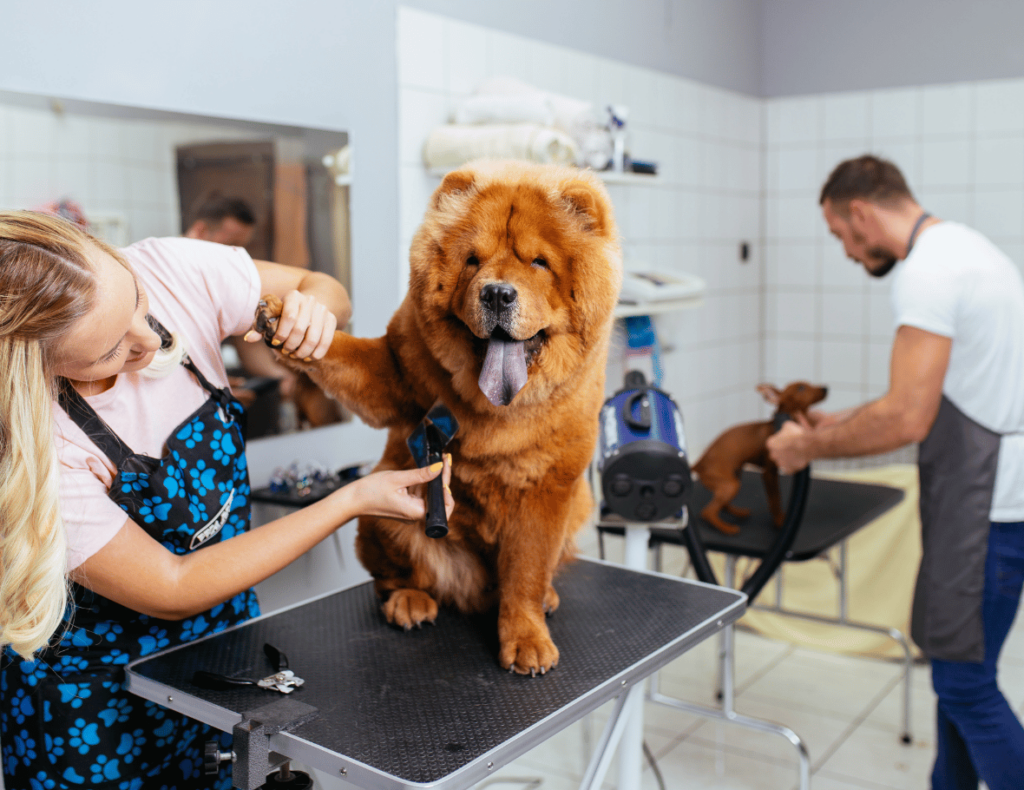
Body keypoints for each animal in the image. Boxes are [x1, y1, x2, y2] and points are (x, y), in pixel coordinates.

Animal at [256, 158, 622, 672]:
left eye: (538, 262)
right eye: (473, 260)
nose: (497, 294)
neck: (497, 407)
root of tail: (476, 591)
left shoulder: (547, 489)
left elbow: (527, 570)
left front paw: (527, 638)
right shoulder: (394, 370)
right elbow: (344, 353)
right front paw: (288, 322)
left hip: (578, 506)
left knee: (534, 573)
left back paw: (545, 597)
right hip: (381, 520)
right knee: (394, 577)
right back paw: (410, 602)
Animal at [692, 383, 827, 536]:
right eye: (801, 388)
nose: (825, 388)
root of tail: (699, 463)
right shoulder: (769, 473)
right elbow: (775, 498)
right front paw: (779, 521)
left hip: (734, 477)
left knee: (722, 505)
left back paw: (738, 512)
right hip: (730, 484)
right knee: (707, 512)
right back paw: (727, 528)